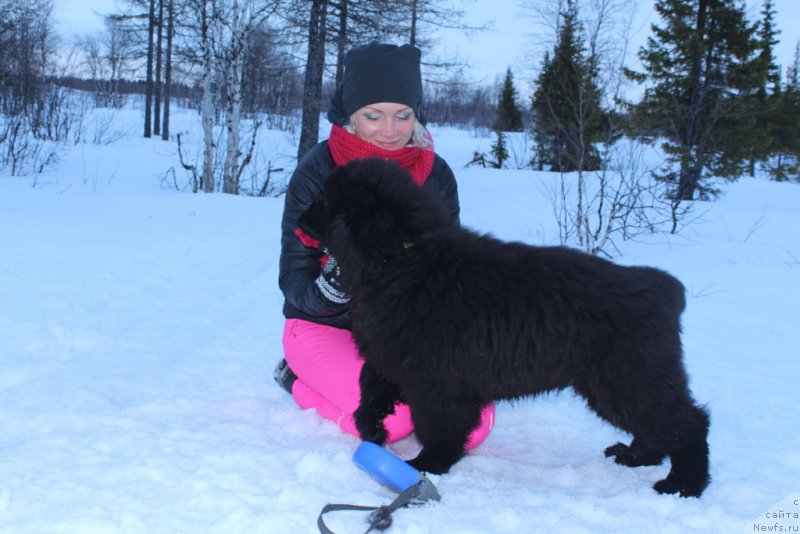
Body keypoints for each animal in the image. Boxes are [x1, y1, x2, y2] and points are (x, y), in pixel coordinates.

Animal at [302, 157, 712, 500]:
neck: (403, 257)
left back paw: (682, 485)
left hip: (628, 378)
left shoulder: (436, 383)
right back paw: (636, 456)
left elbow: (437, 427)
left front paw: (426, 465)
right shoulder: (393, 359)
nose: (301, 213)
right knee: (659, 425)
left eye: (326, 200)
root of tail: (665, 290)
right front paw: (374, 429)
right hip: (613, 384)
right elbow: (370, 391)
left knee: (689, 423)